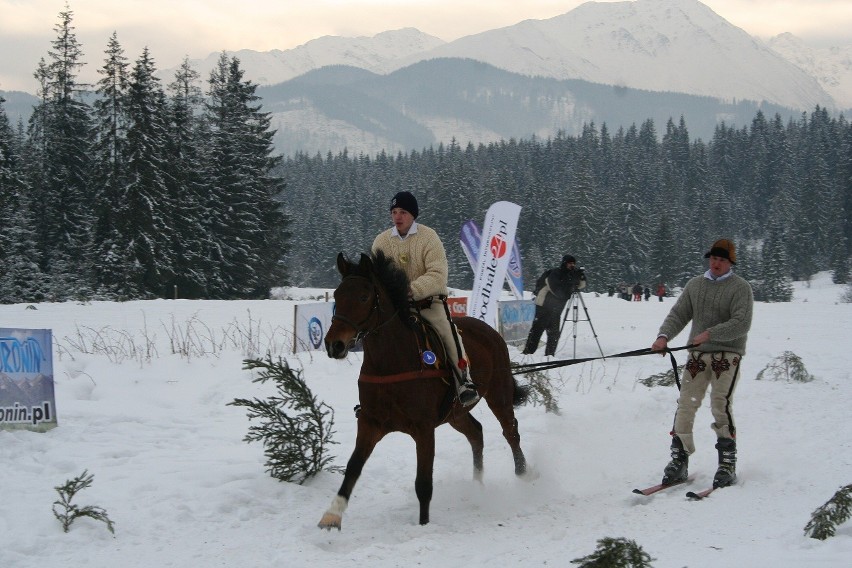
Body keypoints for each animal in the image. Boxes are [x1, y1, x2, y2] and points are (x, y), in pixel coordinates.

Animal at [320, 251, 528, 532]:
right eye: (337, 295)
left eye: (363, 296)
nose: (335, 345)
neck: (392, 361)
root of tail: (490, 331)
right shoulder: (370, 423)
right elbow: (352, 468)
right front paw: (332, 515)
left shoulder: (424, 428)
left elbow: (423, 483)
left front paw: (423, 525)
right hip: (455, 414)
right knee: (476, 433)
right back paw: (477, 486)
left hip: (499, 394)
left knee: (511, 432)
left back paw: (523, 476)